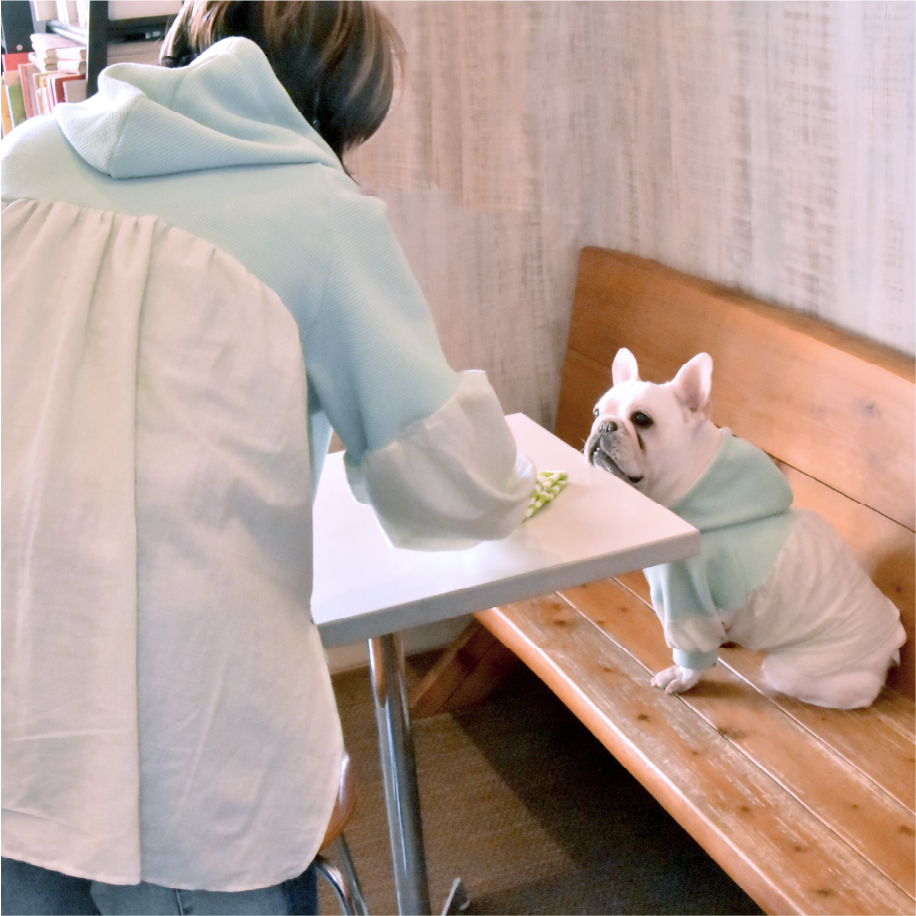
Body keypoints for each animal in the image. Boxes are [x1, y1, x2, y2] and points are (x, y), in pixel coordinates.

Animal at [585, 348, 905, 709]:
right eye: (597, 411)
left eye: (642, 419)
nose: (604, 425)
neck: (692, 481)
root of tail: (892, 641)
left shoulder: (688, 602)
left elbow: (691, 655)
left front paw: (683, 678)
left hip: (792, 670)